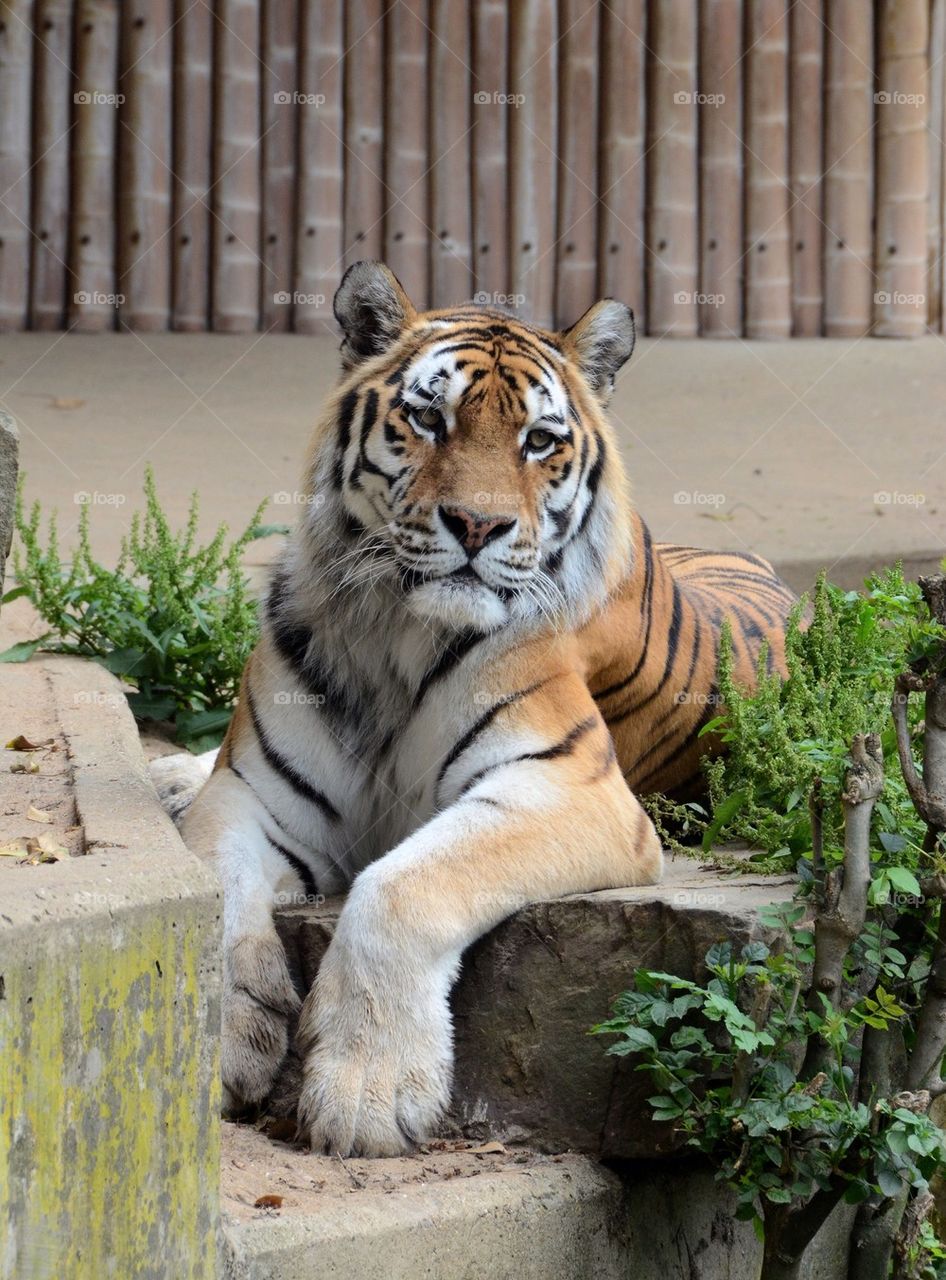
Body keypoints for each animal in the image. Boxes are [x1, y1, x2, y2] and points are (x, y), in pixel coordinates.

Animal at [153, 260, 796, 1159]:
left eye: (540, 441)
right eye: (428, 418)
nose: (477, 525)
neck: (390, 630)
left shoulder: (570, 790)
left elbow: (400, 887)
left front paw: (368, 1091)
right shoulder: (250, 795)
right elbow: (215, 894)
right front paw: (229, 1038)